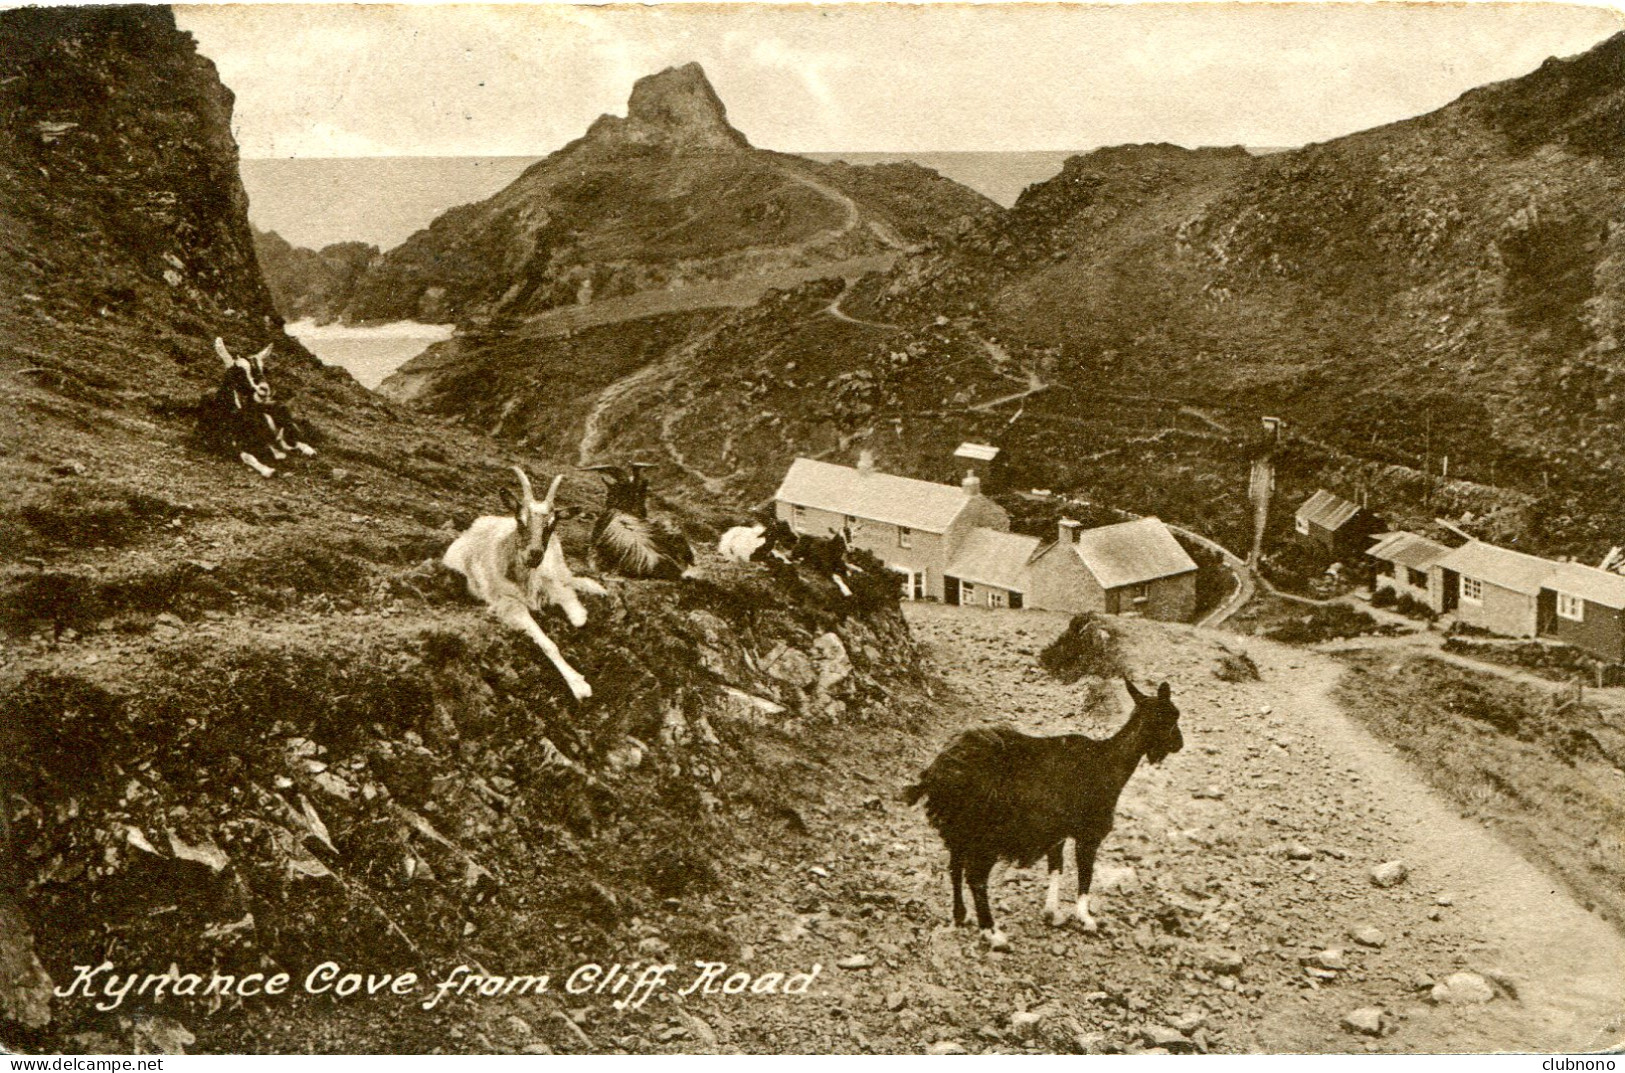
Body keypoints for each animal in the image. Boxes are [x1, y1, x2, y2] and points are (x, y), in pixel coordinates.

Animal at [442, 464, 607, 699]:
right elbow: (548, 643)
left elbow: (569, 604)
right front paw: (579, 685)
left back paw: (592, 592)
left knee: (568, 579)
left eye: (552, 525)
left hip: (556, 562)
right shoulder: (508, 604)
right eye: (520, 520)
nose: (534, 554)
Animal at [903, 679, 1183, 949]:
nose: (1179, 744)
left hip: (958, 829)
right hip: (986, 836)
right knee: (976, 878)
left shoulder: (1056, 832)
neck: (1107, 761)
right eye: (1172, 715)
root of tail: (938, 773)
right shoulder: (1089, 833)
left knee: (955, 867)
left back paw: (960, 915)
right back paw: (991, 932)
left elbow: (1056, 867)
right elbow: (1085, 874)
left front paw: (1052, 913)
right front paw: (1085, 919)